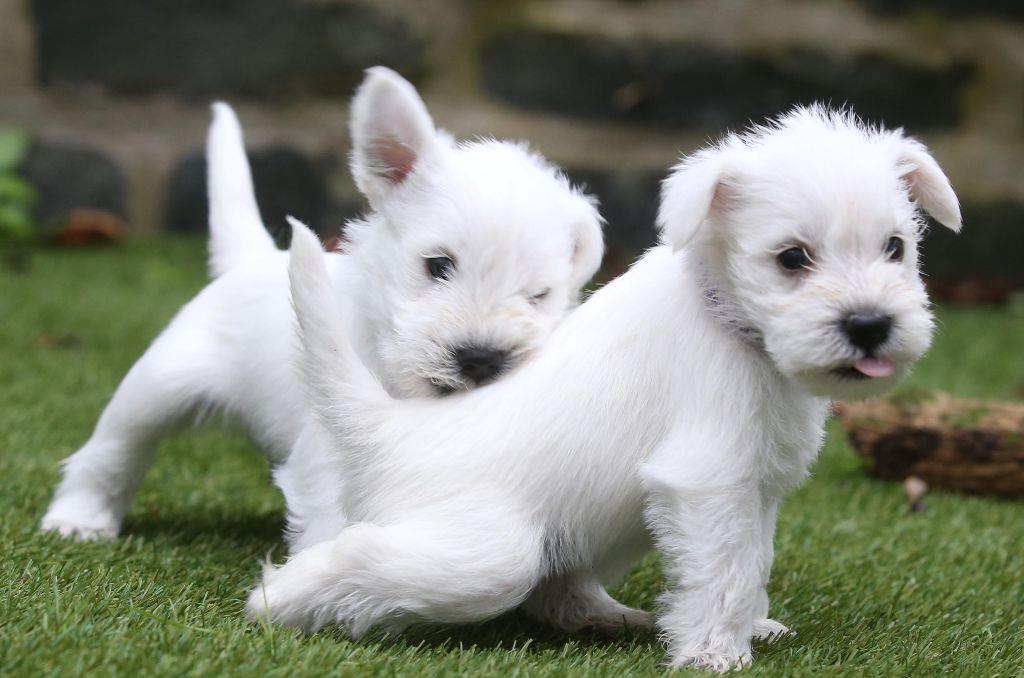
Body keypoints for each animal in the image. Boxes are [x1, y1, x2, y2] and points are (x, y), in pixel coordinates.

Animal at [39, 67, 602, 548]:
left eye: (538, 295)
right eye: (438, 265)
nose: (481, 359)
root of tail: (251, 257)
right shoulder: (331, 446)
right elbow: (333, 516)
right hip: (158, 383)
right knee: (112, 449)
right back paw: (79, 518)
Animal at [251, 109, 962, 671]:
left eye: (895, 247)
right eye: (792, 258)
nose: (870, 325)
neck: (730, 324)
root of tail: (392, 428)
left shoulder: (756, 492)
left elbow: (750, 565)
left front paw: (747, 628)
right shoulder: (708, 481)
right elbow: (724, 573)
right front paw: (714, 654)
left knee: (556, 595)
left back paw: (611, 617)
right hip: (490, 554)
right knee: (357, 555)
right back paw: (272, 603)